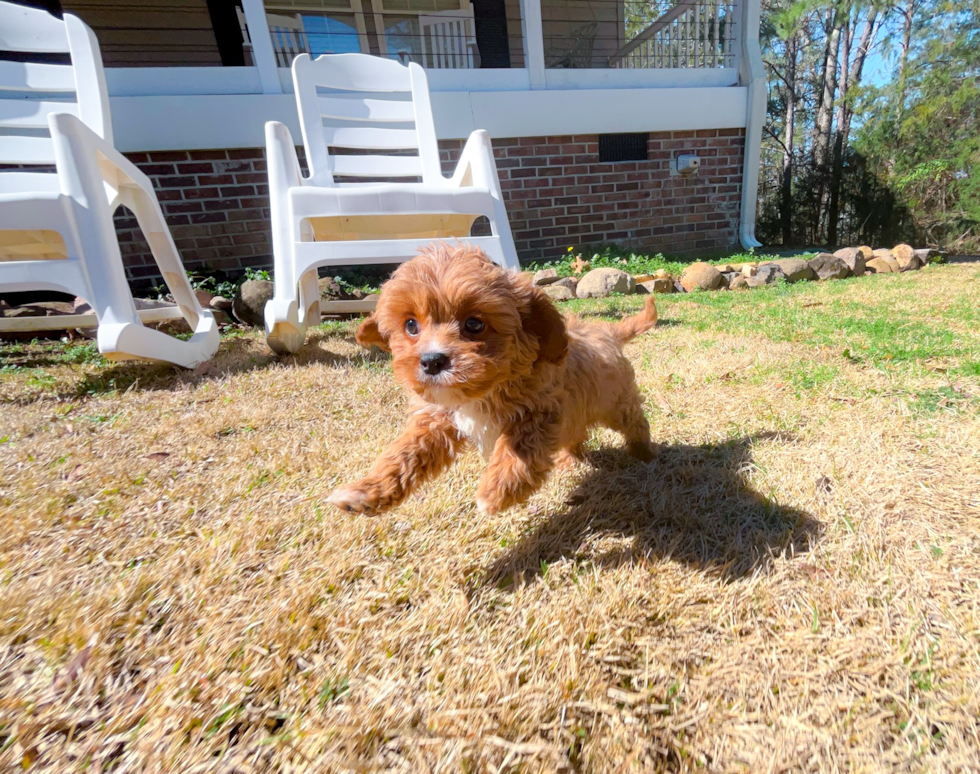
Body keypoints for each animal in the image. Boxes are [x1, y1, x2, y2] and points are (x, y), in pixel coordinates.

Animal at [328, 242, 660, 520]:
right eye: (411, 325)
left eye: (474, 324)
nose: (432, 361)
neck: (480, 393)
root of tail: (605, 331)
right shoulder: (436, 419)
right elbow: (404, 453)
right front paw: (364, 493)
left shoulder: (542, 410)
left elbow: (519, 445)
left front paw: (497, 490)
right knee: (576, 434)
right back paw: (569, 458)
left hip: (616, 402)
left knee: (635, 421)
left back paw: (643, 452)